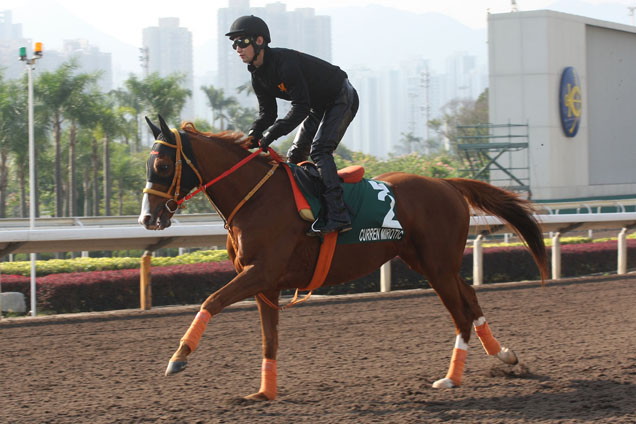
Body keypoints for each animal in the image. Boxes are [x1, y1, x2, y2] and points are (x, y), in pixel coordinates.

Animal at [139, 116, 548, 400]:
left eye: (162, 166)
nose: (147, 218)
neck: (255, 197)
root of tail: (447, 183)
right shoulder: (264, 283)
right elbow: (269, 339)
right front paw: (265, 393)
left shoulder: (261, 272)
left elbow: (211, 300)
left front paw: (178, 357)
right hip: (429, 262)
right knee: (470, 295)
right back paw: (504, 355)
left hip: (436, 265)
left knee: (460, 314)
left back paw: (451, 378)